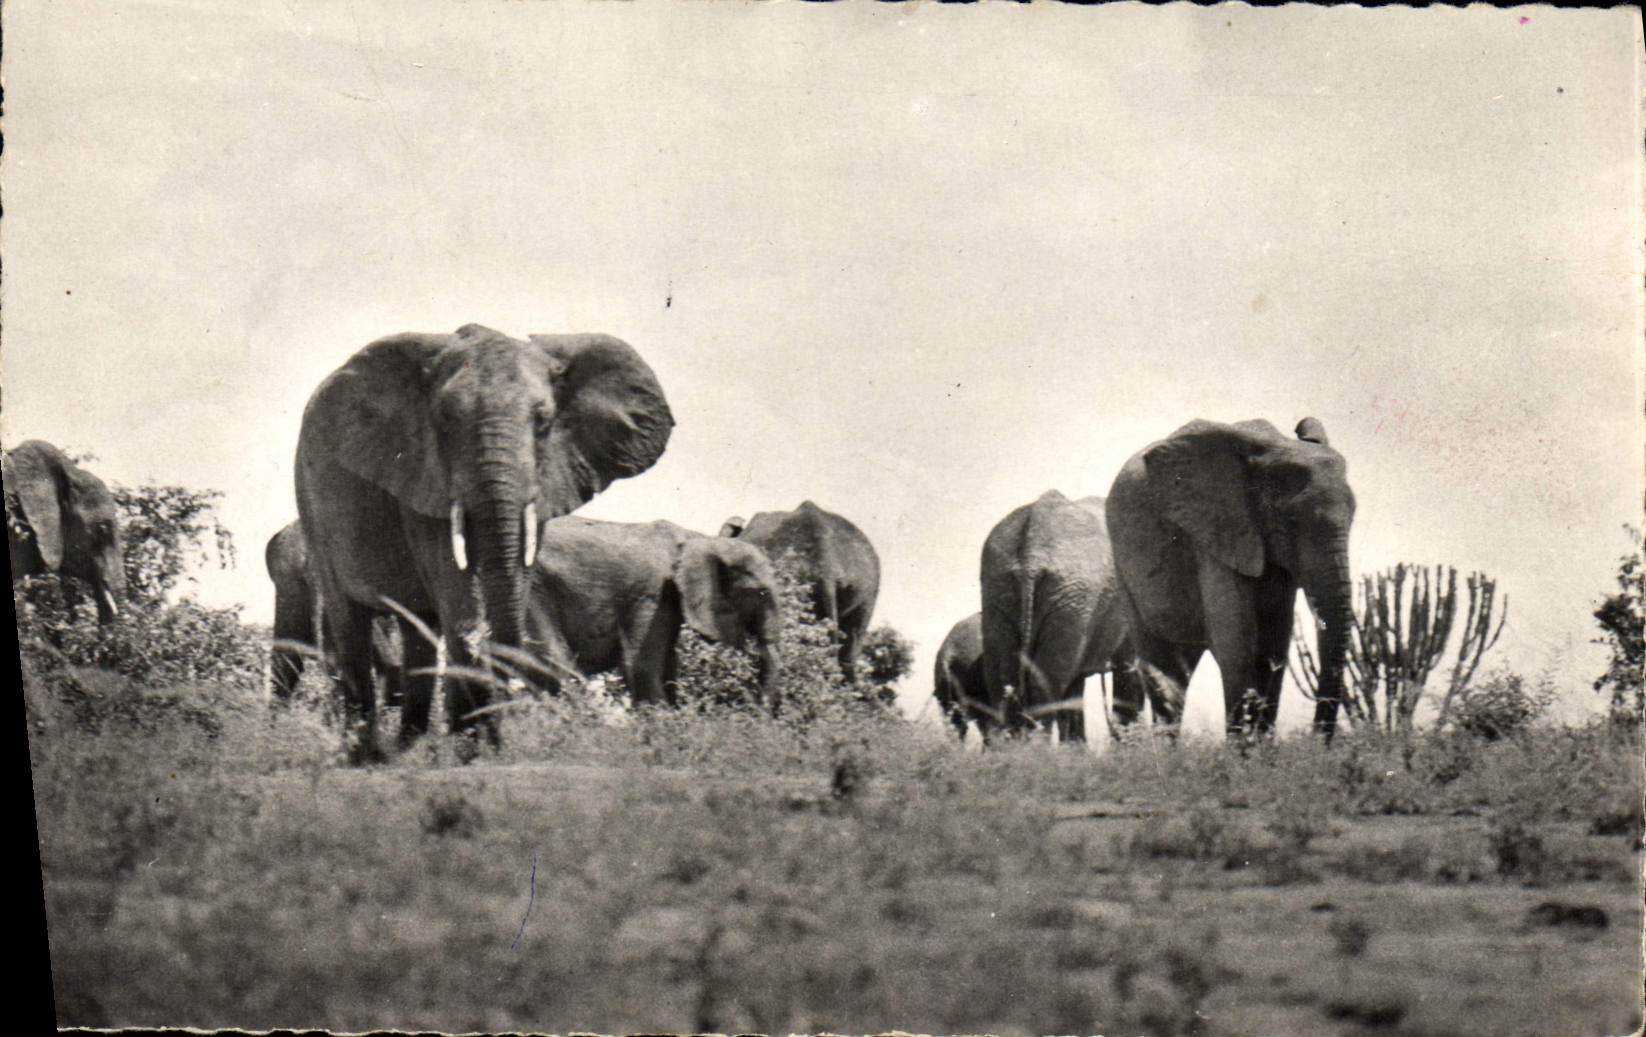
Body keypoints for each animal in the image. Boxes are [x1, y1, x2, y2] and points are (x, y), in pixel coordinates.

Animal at [294, 323, 673, 762]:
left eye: (543, 420)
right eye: (443, 418)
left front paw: (476, 749)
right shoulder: (422, 477)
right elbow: (459, 597)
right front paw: (474, 752)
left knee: (417, 628)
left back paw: (409, 749)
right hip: (310, 504)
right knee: (349, 623)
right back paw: (368, 757)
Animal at [525, 517, 781, 709]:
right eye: (761, 593)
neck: (699, 538)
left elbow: (669, 666)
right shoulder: (652, 593)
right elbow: (641, 666)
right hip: (532, 591)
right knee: (555, 662)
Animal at [979, 490, 1142, 743]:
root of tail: (1031, 553)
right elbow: (1128, 671)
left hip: (1001, 588)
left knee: (1003, 681)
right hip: (1072, 594)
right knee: (1044, 686)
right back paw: (1038, 749)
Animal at [1105, 417, 1356, 738]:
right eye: (1290, 522)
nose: (1316, 740)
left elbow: (1274, 644)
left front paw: (1260, 747)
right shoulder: (1218, 529)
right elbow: (1237, 640)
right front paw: (1242, 749)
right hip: (1124, 571)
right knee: (1160, 665)